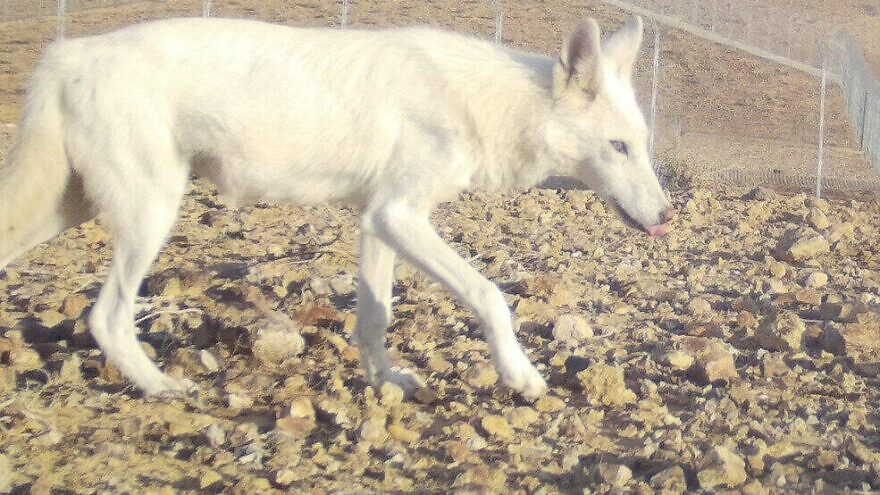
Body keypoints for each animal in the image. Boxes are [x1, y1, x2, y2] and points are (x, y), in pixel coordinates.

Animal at [0, 15, 673, 399]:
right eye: (619, 147)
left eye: (643, 145)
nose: (667, 217)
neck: (489, 103)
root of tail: (67, 53)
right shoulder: (400, 216)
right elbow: (491, 296)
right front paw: (521, 376)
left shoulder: (378, 221)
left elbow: (374, 318)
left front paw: (387, 383)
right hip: (152, 213)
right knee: (107, 317)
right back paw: (164, 387)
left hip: (70, 209)